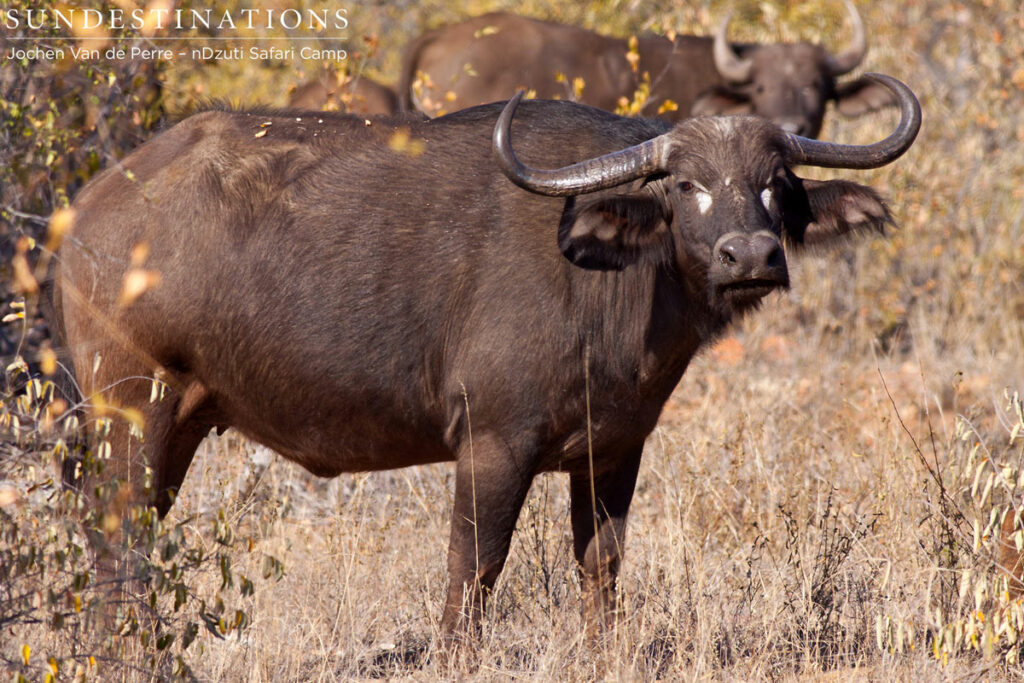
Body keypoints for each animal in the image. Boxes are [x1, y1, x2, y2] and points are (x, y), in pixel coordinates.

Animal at [50, 73, 919, 644]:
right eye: (684, 184)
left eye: (777, 184)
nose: (752, 256)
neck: (609, 279)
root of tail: (89, 208)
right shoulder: (492, 447)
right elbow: (473, 574)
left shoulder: (614, 451)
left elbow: (601, 567)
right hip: (133, 412)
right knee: (120, 545)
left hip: (176, 425)